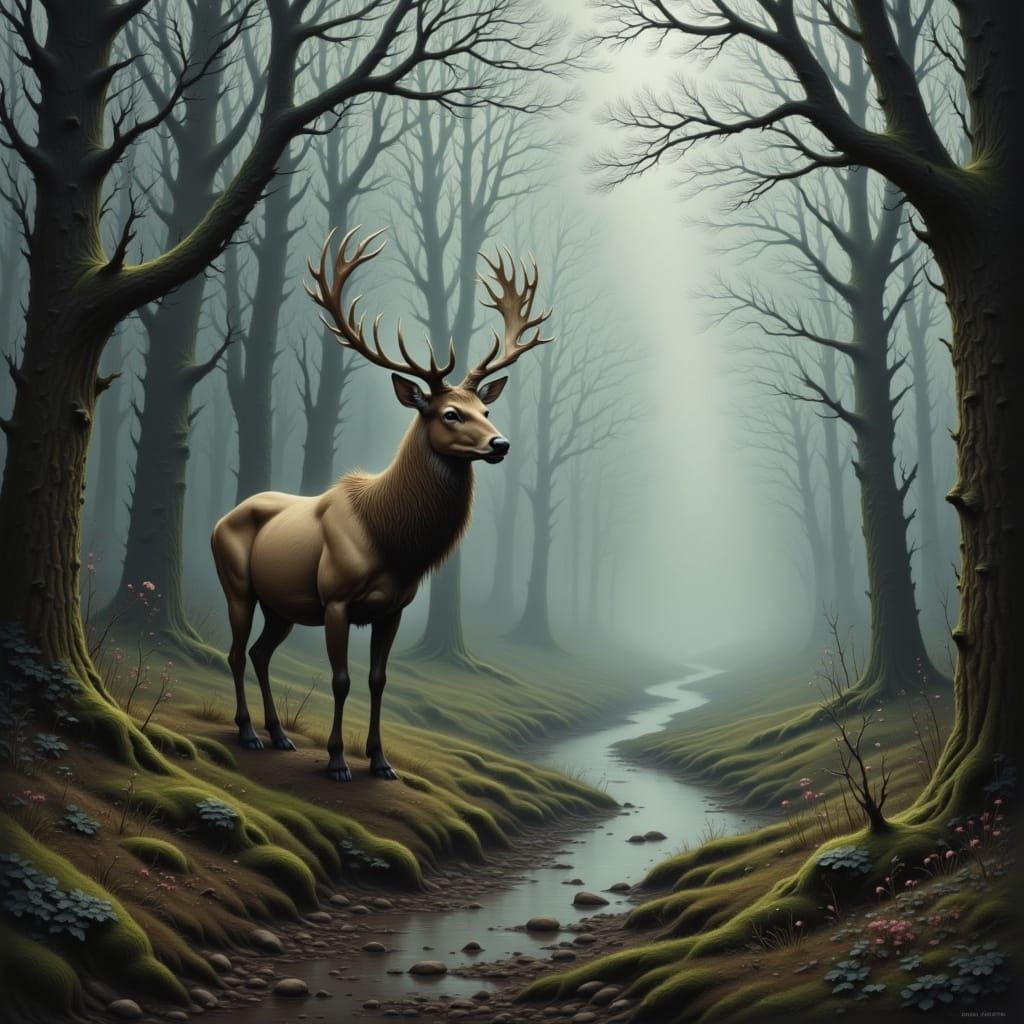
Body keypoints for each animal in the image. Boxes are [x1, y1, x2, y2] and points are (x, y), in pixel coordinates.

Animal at [211, 228, 553, 781]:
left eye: (486, 409)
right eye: (450, 413)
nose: (500, 444)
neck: (392, 539)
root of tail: (221, 518)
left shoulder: (393, 608)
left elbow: (378, 680)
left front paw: (380, 760)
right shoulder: (334, 599)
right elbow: (341, 680)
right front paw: (336, 761)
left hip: (282, 603)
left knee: (261, 653)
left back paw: (279, 734)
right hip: (237, 583)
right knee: (238, 653)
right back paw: (248, 732)